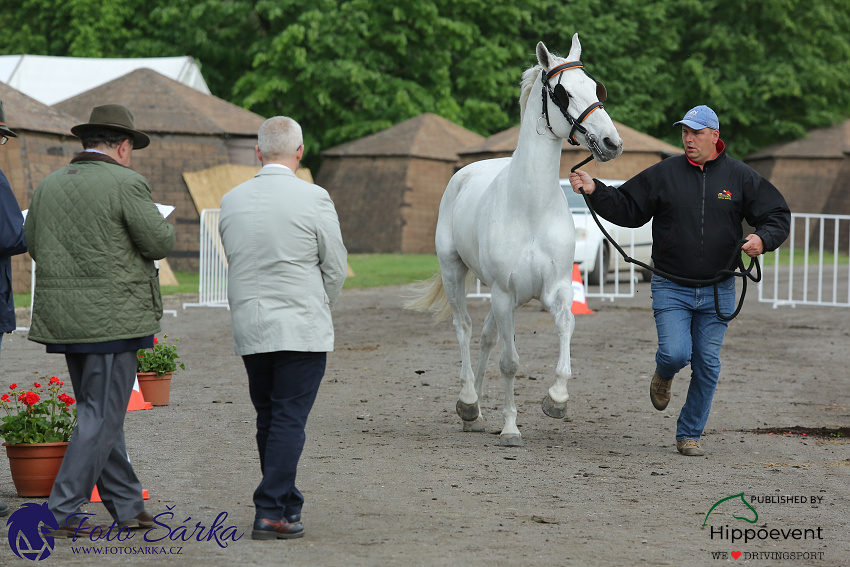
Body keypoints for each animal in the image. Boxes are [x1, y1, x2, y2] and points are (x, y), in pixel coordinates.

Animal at [408, 33, 620, 446]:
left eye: (595, 88)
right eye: (564, 93)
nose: (611, 141)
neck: (531, 209)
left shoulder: (555, 290)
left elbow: (567, 328)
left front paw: (556, 400)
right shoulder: (505, 295)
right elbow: (510, 363)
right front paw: (509, 428)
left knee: (486, 336)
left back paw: (474, 413)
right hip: (456, 273)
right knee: (465, 329)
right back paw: (468, 401)